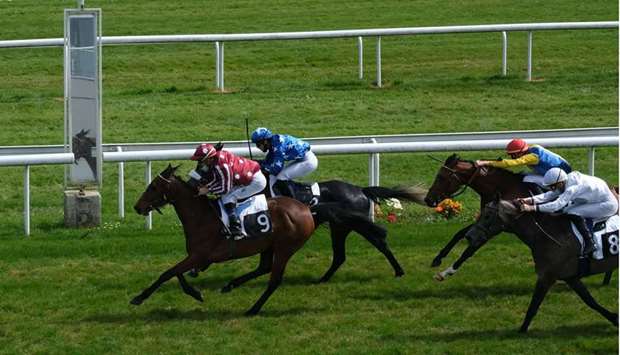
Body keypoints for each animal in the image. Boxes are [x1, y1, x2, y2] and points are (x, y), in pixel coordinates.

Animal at [133, 165, 380, 316]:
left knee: (274, 279)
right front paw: (195, 292)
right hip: (268, 245)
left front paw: (139, 297)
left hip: (285, 247)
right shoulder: (198, 257)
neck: (201, 217)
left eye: (153, 186)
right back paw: (231, 285)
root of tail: (307, 209)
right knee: (264, 267)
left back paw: (253, 308)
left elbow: (168, 273)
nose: (137, 207)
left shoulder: (200, 255)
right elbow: (177, 274)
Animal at [424, 154, 612, 286]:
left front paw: (446, 272)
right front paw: (437, 258)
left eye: (441, 177)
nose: (428, 199)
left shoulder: (495, 225)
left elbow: (470, 249)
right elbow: (461, 233)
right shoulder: (487, 220)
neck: (502, 187)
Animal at [468, 199, 616, 332]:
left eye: (487, 216)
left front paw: (521, 330)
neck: (546, 234)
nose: (469, 236)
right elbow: (590, 301)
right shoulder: (570, 277)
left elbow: (534, 305)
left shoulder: (546, 277)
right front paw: (615, 318)